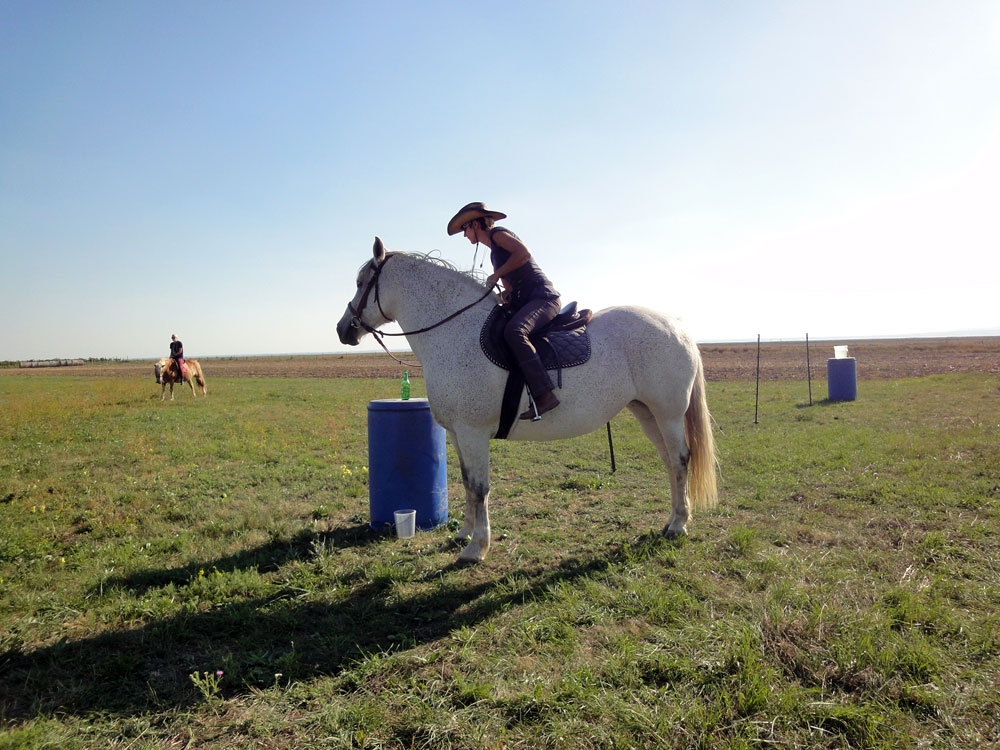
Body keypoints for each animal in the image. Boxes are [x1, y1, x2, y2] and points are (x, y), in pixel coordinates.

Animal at [340, 238, 716, 560]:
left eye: (361, 282)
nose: (343, 329)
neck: (456, 331)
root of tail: (678, 326)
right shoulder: (458, 434)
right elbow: (466, 482)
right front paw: (464, 533)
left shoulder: (473, 433)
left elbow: (480, 487)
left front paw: (477, 547)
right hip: (647, 413)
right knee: (670, 462)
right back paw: (672, 520)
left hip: (668, 415)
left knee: (680, 460)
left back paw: (678, 525)